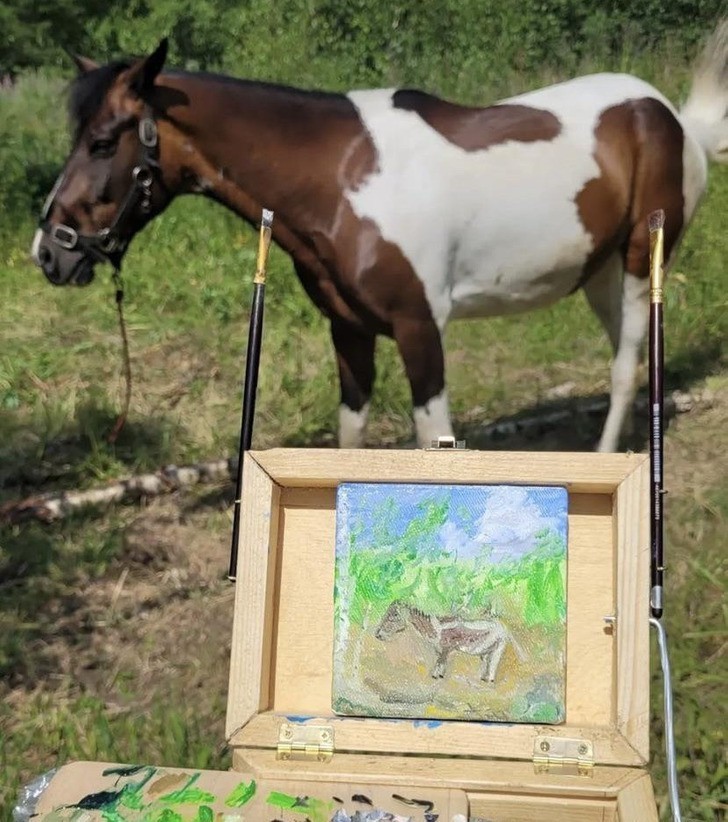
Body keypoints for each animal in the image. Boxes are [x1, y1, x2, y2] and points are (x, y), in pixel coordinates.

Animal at [31, 27, 728, 450]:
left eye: (103, 142)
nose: (50, 252)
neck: (342, 179)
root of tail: (670, 116)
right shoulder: (349, 329)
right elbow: (351, 431)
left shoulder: (421, 329)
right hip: (599, 271)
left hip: (640, 263)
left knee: (625, 364)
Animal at [376, 600, 524, 684]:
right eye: (387, 613)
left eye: (394, 616)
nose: (377, 634)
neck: (435, 628)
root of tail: (502, 626)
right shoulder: (440, 650)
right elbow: (441, 663)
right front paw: (440, 676)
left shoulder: (445, 648)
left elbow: (439, 663)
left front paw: (435, 677)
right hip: (487, 650)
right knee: (487, 663)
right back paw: (482, 678)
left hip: (499, 647)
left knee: (494, 664)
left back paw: (490, 681)